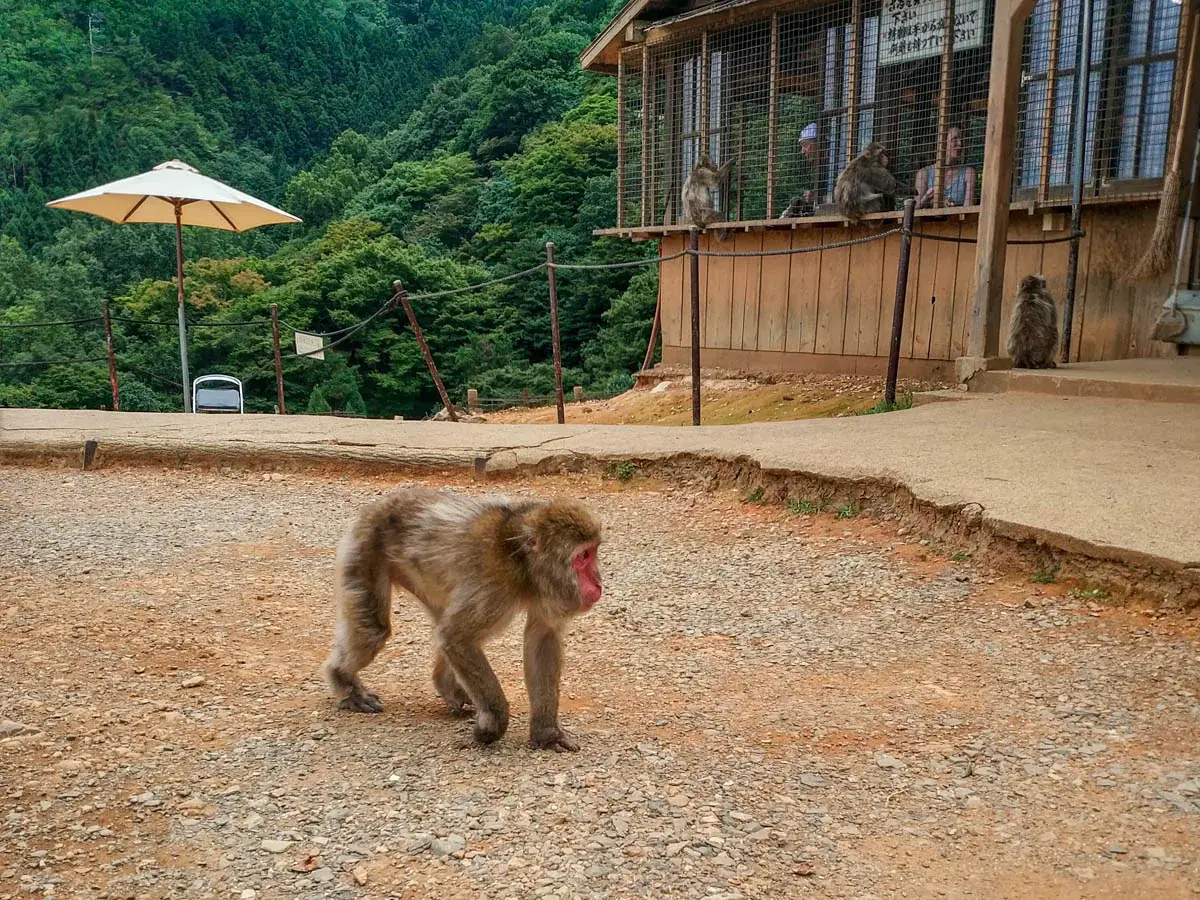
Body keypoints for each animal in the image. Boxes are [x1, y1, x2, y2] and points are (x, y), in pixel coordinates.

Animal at [322, 487, 603, 752]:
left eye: (593, 552)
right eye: (584, 556)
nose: (598, 581)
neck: (522, 564)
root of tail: (378, 504)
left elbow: (542, 638)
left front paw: (547, 734)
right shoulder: (493, 587)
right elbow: (457, 638)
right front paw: (493, 724)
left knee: (440, 625)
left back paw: (445, 684)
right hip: (365, 545)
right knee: (375, 631)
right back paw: (343, 680)